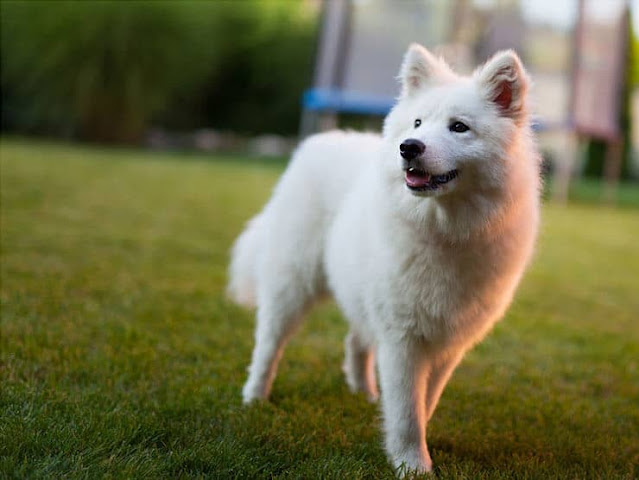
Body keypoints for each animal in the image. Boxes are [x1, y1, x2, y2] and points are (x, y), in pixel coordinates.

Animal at [230, 45, 540, 476]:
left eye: (459, 127)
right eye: (418, 122)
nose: (408, 146)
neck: (445, 231)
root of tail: (320, 141)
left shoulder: (447, 342)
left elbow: (424, 402)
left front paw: (408, 446)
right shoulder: (402, 337)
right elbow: (407, 411)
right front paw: (412, 465)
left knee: (355, 340)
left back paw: (365, 393)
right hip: (291, 286)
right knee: (268, 345)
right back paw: (255, 398)